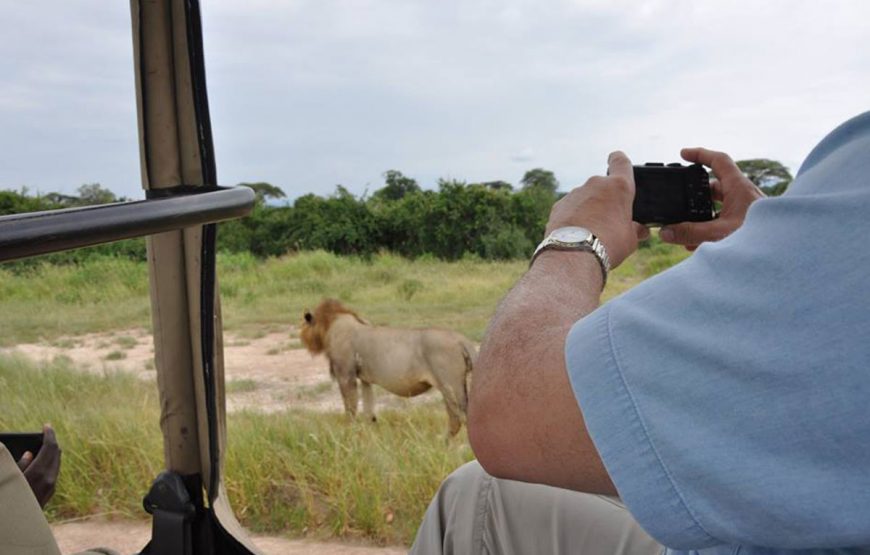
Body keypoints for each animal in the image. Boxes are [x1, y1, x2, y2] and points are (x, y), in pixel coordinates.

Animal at [300, 298, 476, 436]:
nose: (302, 338)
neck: (333, 324)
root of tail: (462, 340)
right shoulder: (365, 379)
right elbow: (368, 411)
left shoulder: (345, 375)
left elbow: (350, 409)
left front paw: (349, 432)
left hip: (450, 385)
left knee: (459, 417)